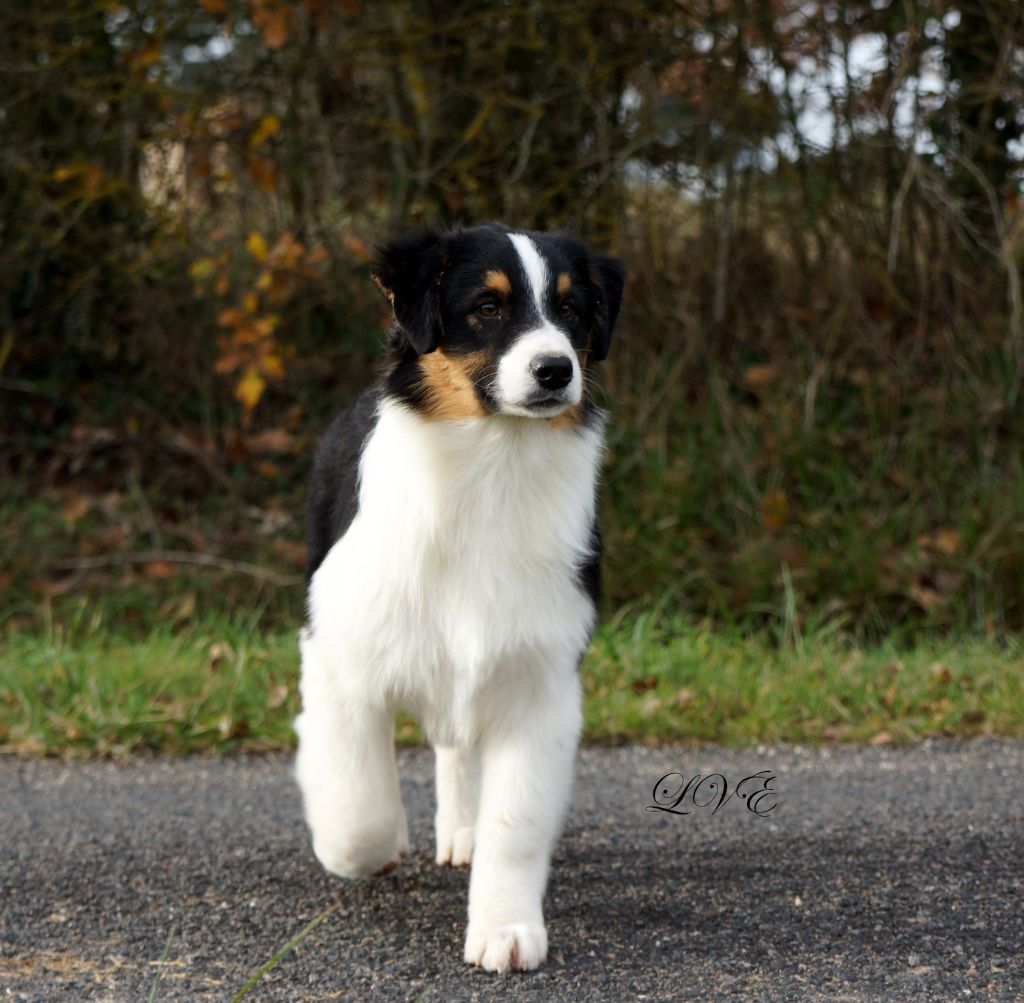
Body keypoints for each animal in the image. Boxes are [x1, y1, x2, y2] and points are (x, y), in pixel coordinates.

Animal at [295, 222, 624, 973]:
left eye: (571, 309)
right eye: (487, 307)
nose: (556, 370)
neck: (491, 469)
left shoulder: (540, 677)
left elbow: (517, 819)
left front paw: (506, 926)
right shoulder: (335, 656)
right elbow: (358, 803)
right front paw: (356, 844)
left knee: (457, 743)